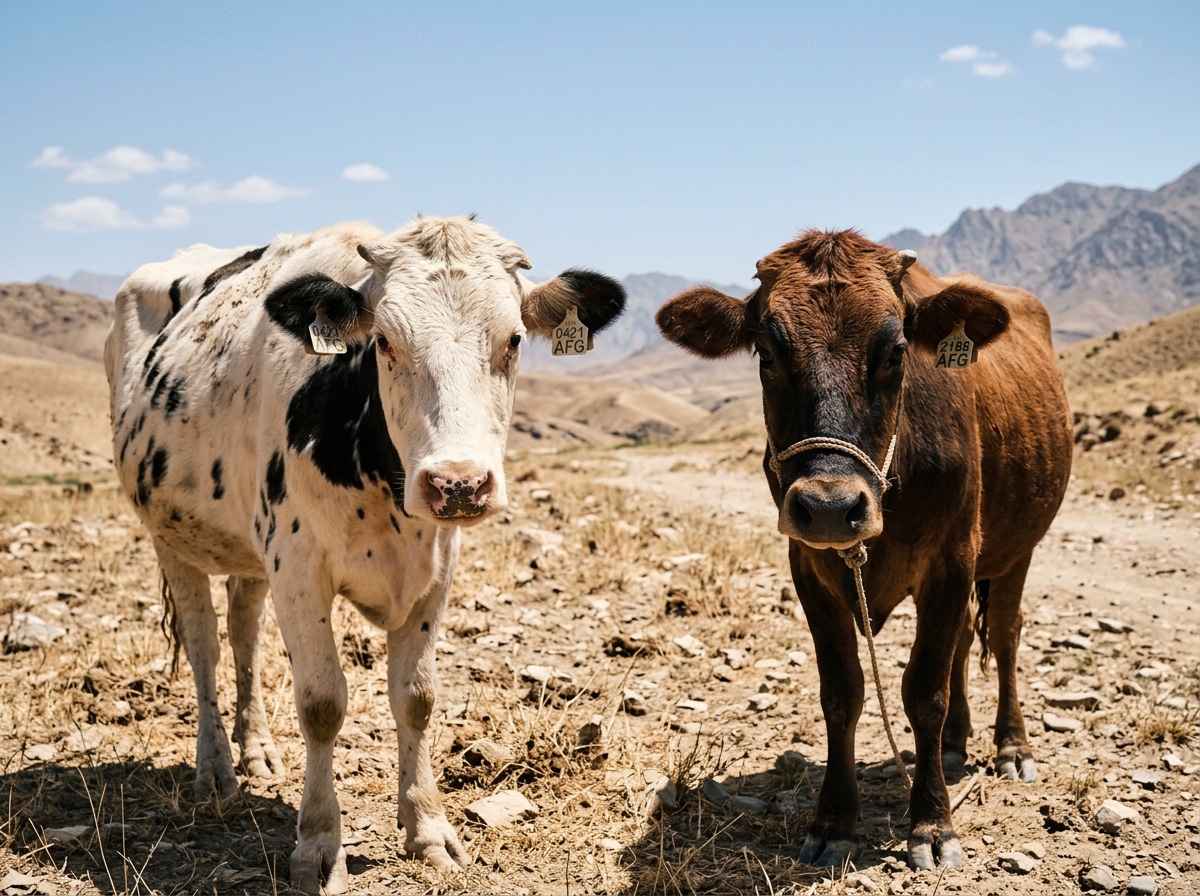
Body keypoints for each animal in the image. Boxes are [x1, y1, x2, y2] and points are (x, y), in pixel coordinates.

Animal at [104, 216, 625, 894]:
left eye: (514, 340)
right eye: (383, 342)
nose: (458, 483)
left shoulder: (435, 570)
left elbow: (416, 697)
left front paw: (428, 829)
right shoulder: (299, 568)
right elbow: (322, 703)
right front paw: (319, 845)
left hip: (250, 554)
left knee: (244, 635)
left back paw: (258, 751)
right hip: (171, 540)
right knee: (204, 648)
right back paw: (215, 769)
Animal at [655, 230, 1071, 870]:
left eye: (897, 351)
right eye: (766, 354)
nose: (830, 505)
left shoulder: (952, 557)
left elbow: (924, 692)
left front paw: (932, 823)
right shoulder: (809, 566)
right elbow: (842, 692)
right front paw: (834, 821)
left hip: (1015, 548)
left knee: (1002, 635)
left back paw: (1011, 747)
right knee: (961, 644)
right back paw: (953, 746)